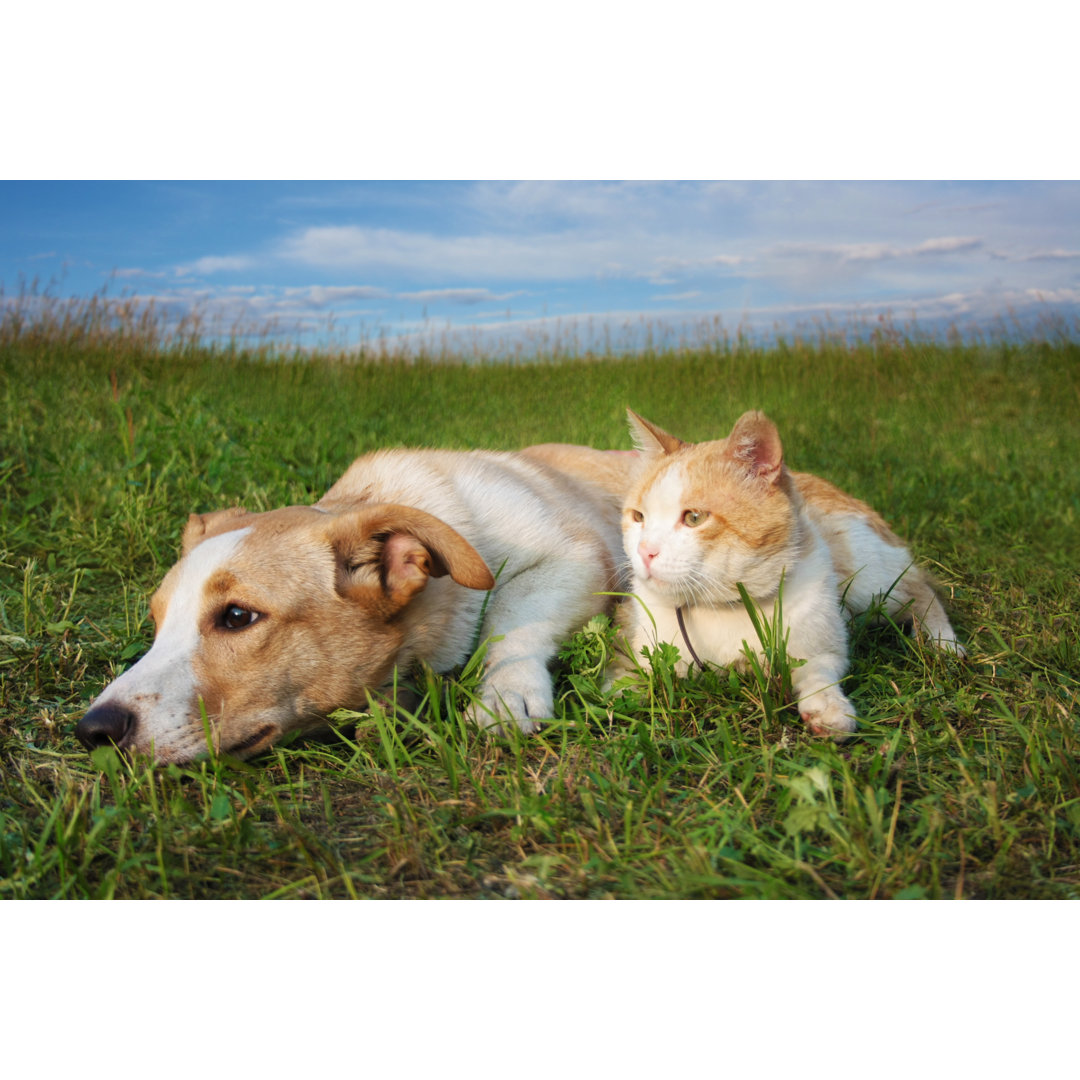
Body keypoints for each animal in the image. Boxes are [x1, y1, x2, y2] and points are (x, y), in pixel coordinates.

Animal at [79, 442, 635, 764]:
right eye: (156, 623)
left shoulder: (579, 557)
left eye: (237, 616)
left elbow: (511, 614)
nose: (93, 730)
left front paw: (504, 691)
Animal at [613, 408, 967, 738]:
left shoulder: (823, 643)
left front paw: (827, 705)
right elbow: (632, 677)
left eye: (694, 517)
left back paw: (943, 643)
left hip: (870, 581)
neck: (722, 607)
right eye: (638, 517)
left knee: (921, 591)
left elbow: (818, 669)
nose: (645, 551)